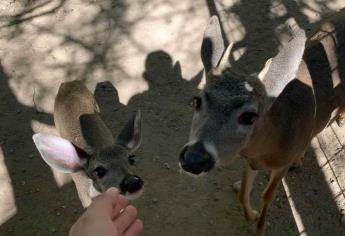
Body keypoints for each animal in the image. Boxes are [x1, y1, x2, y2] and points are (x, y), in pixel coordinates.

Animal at [177, 15, 344, 235]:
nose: (194, 159)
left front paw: (259, 228)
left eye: (249, 116)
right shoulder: (250, 161)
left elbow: (267, 195)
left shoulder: (281, 164)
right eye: (196, 101)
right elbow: (243, 192)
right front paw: (251, 214)